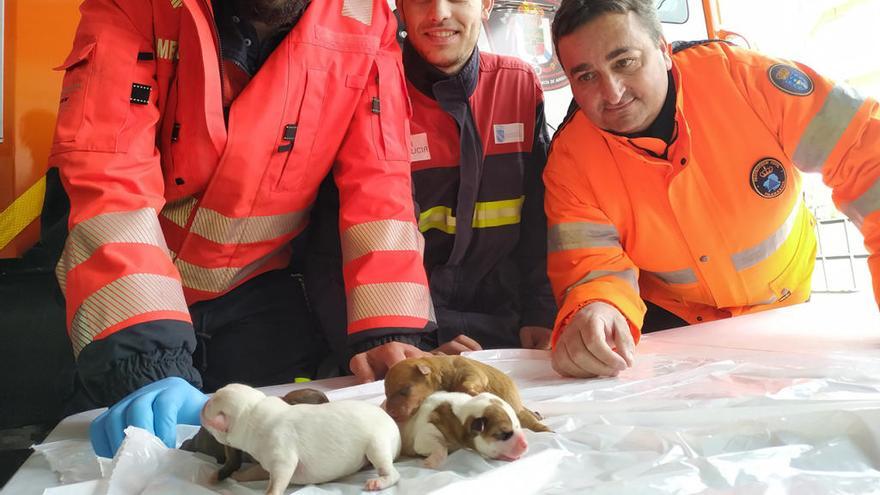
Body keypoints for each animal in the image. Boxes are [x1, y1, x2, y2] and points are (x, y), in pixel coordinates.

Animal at [201, 384, 400, 495]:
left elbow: (278, 477)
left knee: (392, 472)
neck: (253, 411)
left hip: (377, 444)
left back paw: (379, 481)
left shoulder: (282, 456)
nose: (203, 404)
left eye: (208, 406)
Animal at [384, 356, 552, 434]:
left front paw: (475, 393)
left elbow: (467, 384)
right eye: (386, 393)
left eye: (404, 390)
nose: (391, 413)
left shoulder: (471, 372)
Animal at [400, 392, 528, 468]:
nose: (525, 445)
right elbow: (439, 447)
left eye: (518, 426)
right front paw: (432, 462)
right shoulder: (427, 430)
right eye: (505, 434)